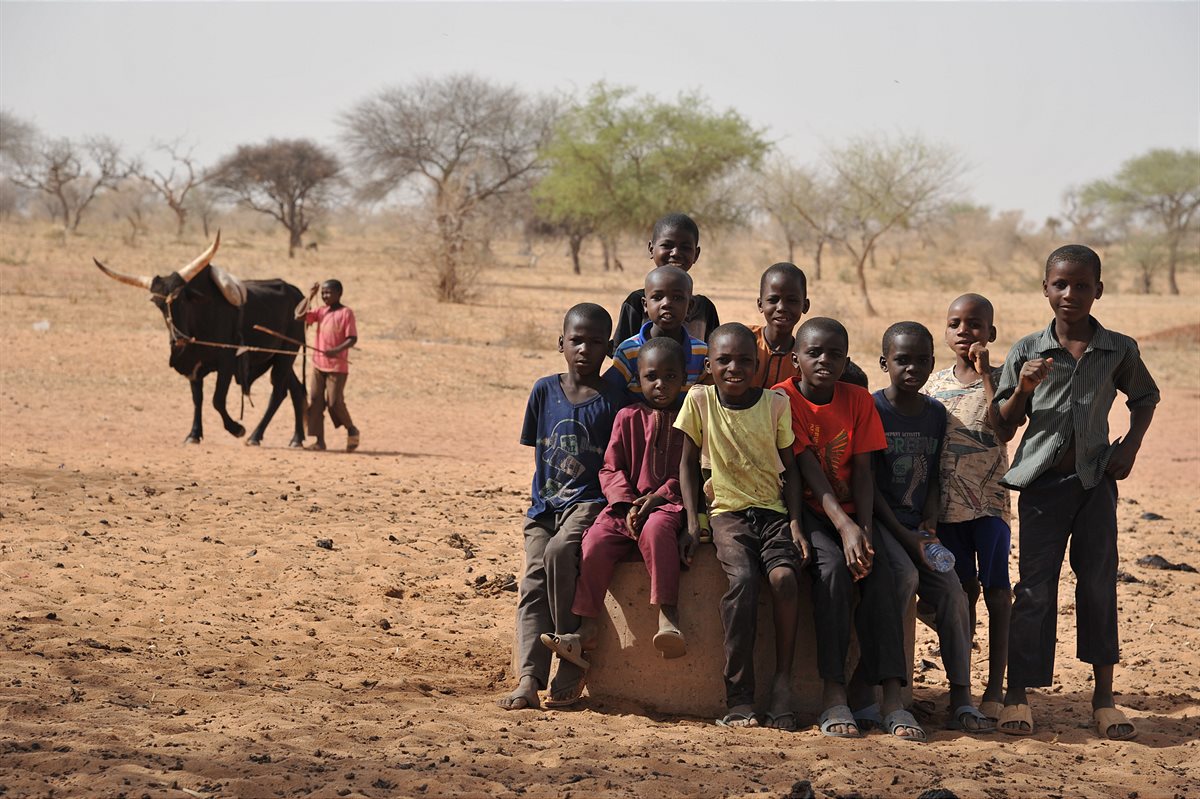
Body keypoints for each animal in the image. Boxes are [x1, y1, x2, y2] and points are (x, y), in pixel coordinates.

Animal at [95, 233, 307, 448]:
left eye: (181, 298)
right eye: (158, 304)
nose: (179, 339)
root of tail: (297, 292)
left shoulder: (226, 363)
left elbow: (217, 400)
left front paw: (237, 428)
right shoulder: (193, 367)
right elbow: (198, 399)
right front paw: (194, 434)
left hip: (286, 355)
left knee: (278, 392)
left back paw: (255, 435)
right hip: (277, 357)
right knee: (295, 390)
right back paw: (296, 438)